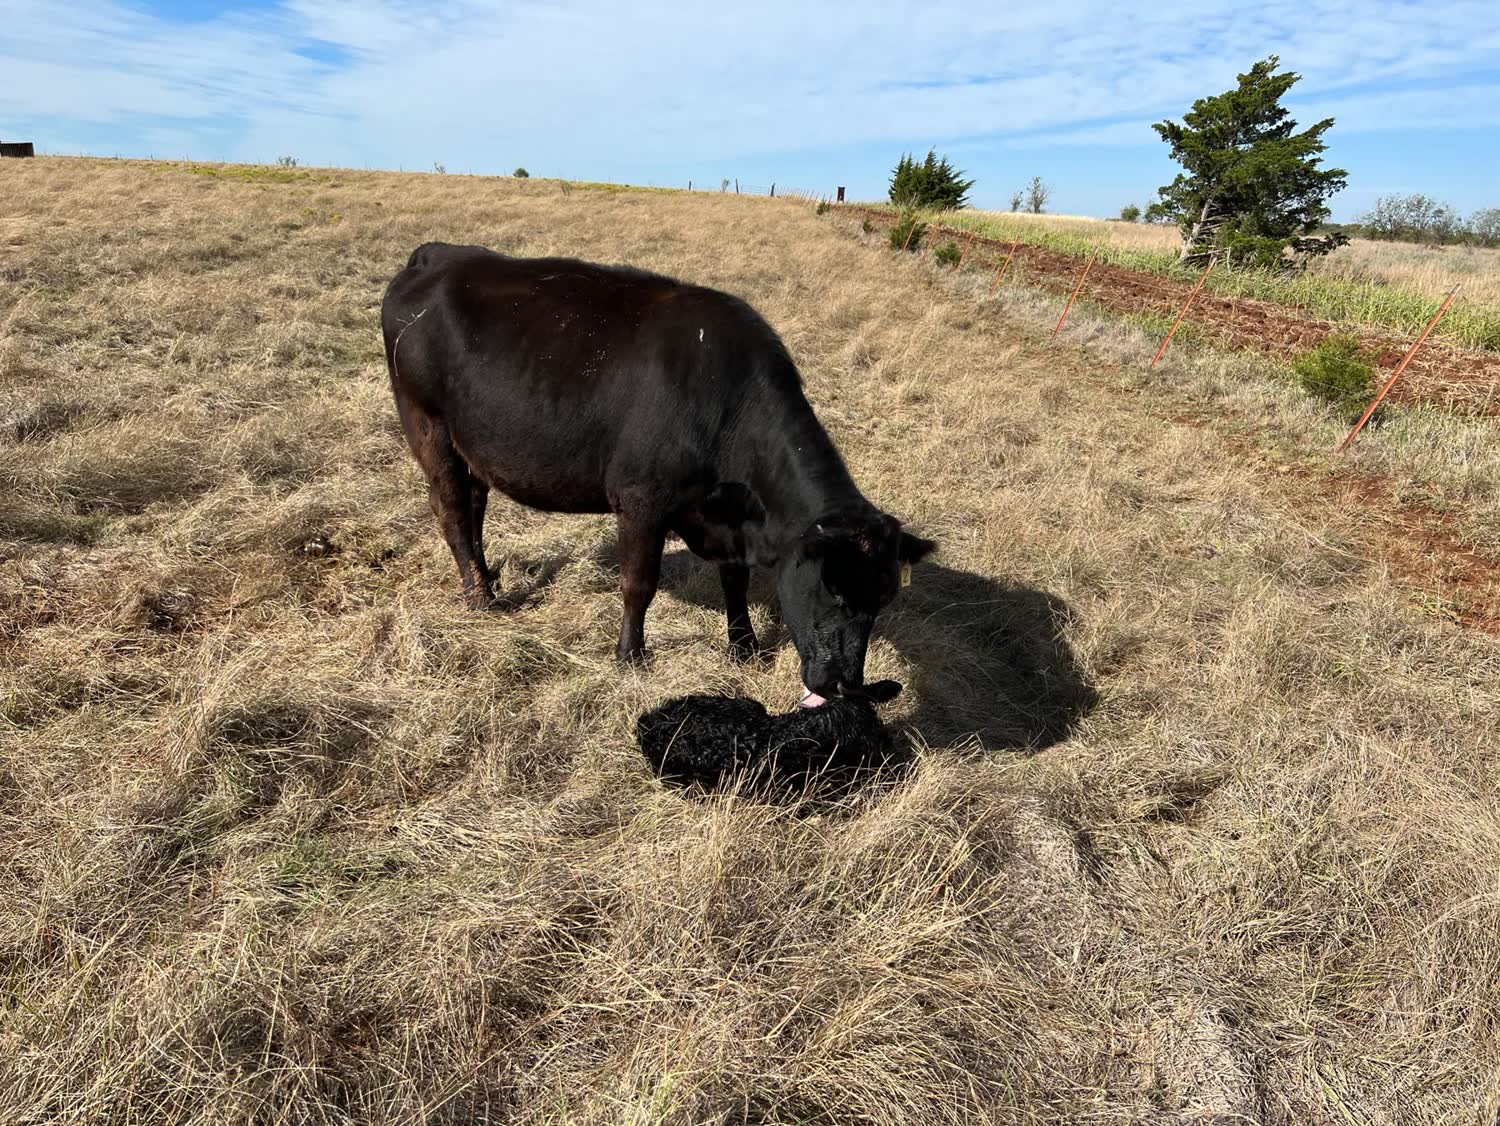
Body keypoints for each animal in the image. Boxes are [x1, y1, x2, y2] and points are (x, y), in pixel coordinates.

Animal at [380, 243, 934, 702]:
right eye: (832, 589)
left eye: (883, 599)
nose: (844, 686)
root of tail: (437, 254)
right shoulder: (642, 500)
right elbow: (638, 583)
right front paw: (631, 656)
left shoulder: (726, 518)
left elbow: (734, 580)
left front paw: (744, 645)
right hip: (429, 429)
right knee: (453, 513)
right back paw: (481, 599)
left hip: (474, 446)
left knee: (474, 506)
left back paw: (488, 578)